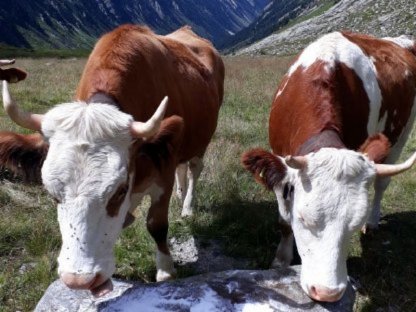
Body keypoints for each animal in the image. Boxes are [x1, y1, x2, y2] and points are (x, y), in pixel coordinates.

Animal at [0, 25, 224, 296]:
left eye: (119, 191)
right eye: (51, 194)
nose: (79, 281)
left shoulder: (163, 170)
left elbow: (156, 224)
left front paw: (165, 270)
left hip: (202, 141)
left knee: (193, 168)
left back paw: (188, 206)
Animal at [240, 32, 416, 302]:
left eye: (352, 224)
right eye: (302, 218)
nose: (327, 293)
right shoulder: (280, 173)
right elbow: (283, 220)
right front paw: (281, 260)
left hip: (401, 134)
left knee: (382, 183)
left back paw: (373, 221)